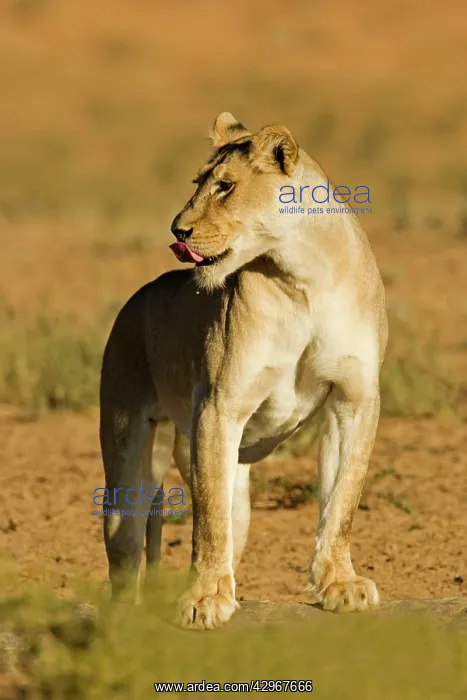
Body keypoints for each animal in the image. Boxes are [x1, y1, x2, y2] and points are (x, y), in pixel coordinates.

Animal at [99, 112, 388, 630]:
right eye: (198, 183)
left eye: (225, 186)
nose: (178, 230)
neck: (304, 276)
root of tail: (136, 298)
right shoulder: (220, 405)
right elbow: (208, 522)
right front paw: (202, 601)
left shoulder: (354, 399)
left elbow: (341, 501)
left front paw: (339, 585)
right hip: (128, 452)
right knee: (127, 540)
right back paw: (128, 611)